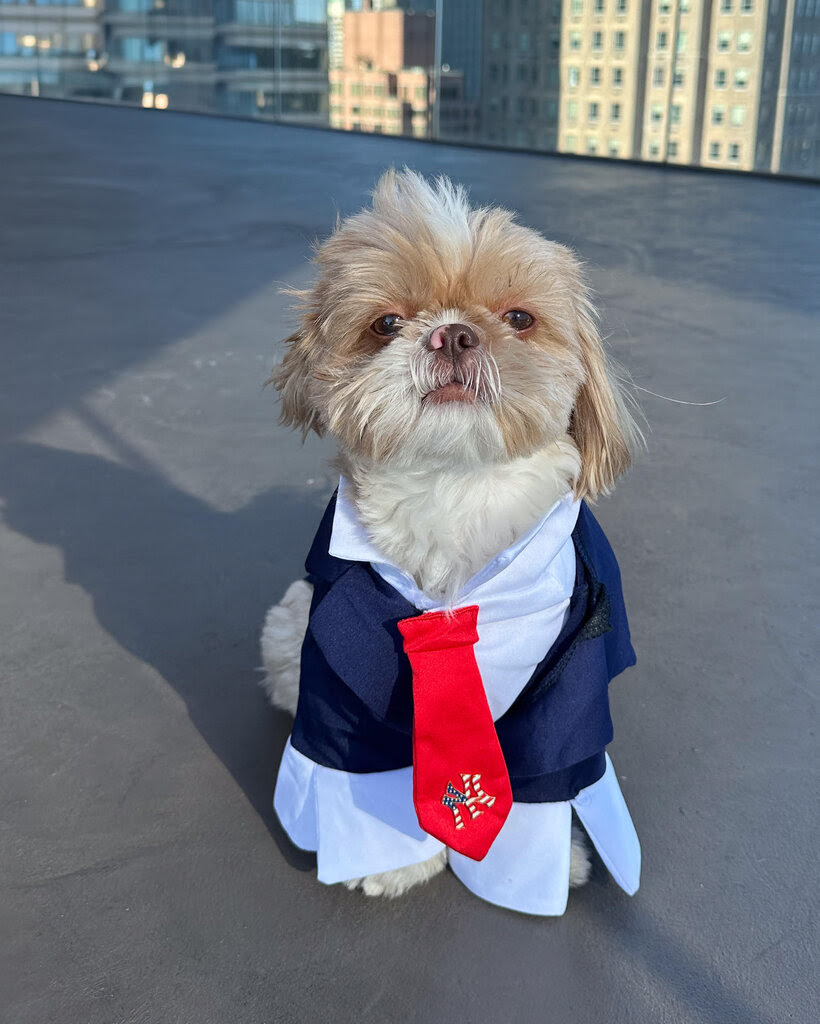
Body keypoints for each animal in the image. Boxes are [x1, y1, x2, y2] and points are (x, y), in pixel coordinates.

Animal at [261, 172, 638, 917]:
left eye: (519, 318)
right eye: (385, 324)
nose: (454, 335)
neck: (455, 488)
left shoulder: (564, 694)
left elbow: (542, 775)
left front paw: (538, 870)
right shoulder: (340, 689)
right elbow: (365, 767)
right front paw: (397, 863)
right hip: (288, 629)